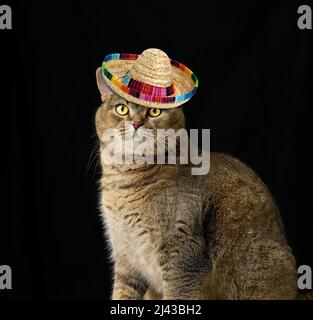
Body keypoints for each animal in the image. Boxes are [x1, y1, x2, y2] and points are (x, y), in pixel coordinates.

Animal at [94, 67, 298, 300]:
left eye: (155, 112)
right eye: (122, 108)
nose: (136, 123)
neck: (124, 184)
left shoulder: (183, 259)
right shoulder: (126, 255)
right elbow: (122, 293)